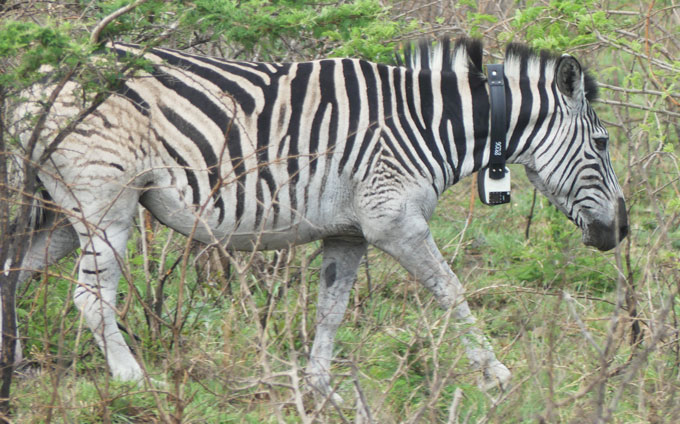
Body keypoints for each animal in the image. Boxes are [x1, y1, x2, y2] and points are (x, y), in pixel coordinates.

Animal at [3, 37, 628, 400]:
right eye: (601, 144)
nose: (620, 231)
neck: (431, 123)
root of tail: (37, 81)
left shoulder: (348, 233)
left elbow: (331, 310)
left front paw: (322, 389)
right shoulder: (394, 221)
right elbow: (451, 290)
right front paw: (495, 376)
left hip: (61, 213)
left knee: (13, 272)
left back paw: (12, 366)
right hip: (103, 201)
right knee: (90, 297)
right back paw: (135, 381)